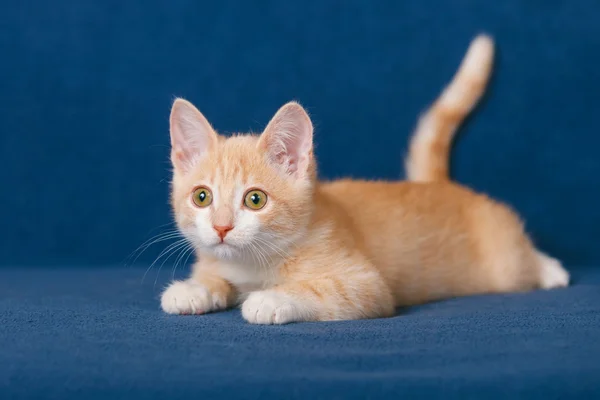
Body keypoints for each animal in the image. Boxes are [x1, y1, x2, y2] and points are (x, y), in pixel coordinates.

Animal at [158, 32, 568, 324]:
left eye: (255, 199)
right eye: (202, 197)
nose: (222, 227)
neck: (254, 263)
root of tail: (439, 184)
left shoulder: (367, 285)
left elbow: (322, 291)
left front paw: (271, 298)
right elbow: (214, 276)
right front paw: (193, 289)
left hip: (503, 263)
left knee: (520, 257)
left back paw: (551, 270)